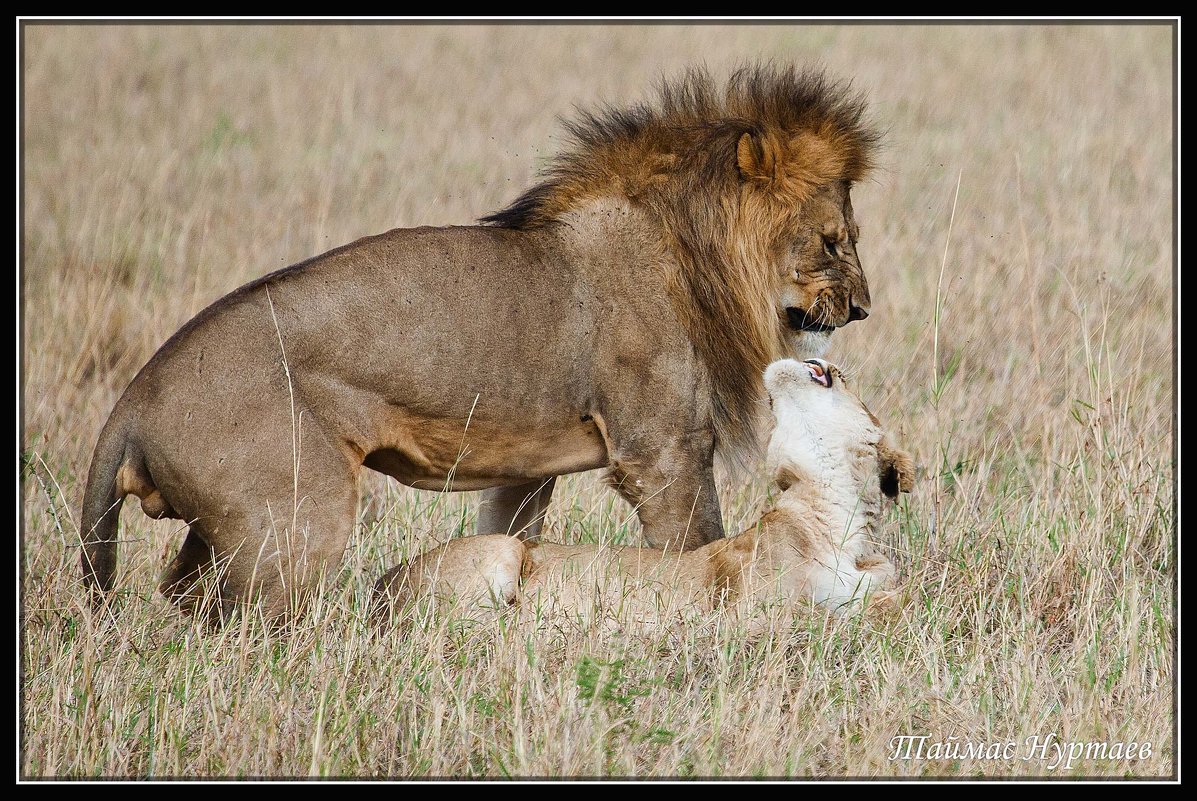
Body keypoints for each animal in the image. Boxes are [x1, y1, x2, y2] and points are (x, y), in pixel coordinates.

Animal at [373, 356, 914, 622]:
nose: (822, 357)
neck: (832, 513)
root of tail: (376, 588)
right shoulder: (745, 614)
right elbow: (817, 620)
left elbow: (891, 602)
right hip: (504, 551)